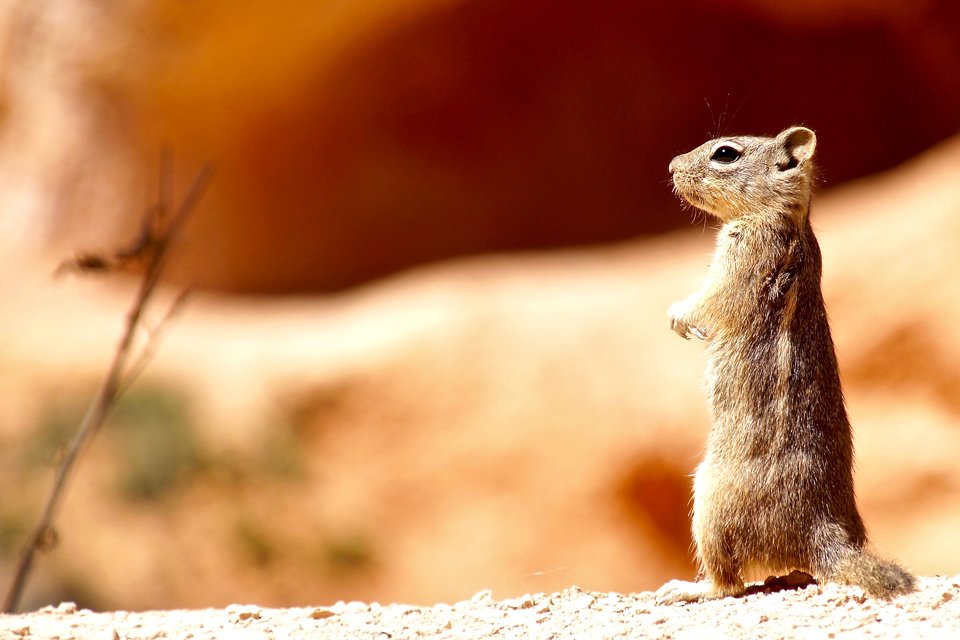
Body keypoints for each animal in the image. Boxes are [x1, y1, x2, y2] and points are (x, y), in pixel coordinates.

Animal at [660, 124, 916, 600]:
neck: (785, 218)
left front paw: (679, 318)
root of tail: (823, 531)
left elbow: (710, 301)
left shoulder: (743, 258)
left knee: (728, 584)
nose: (671, 166)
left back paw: (686, 589)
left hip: (708, 502)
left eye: (725, 154)